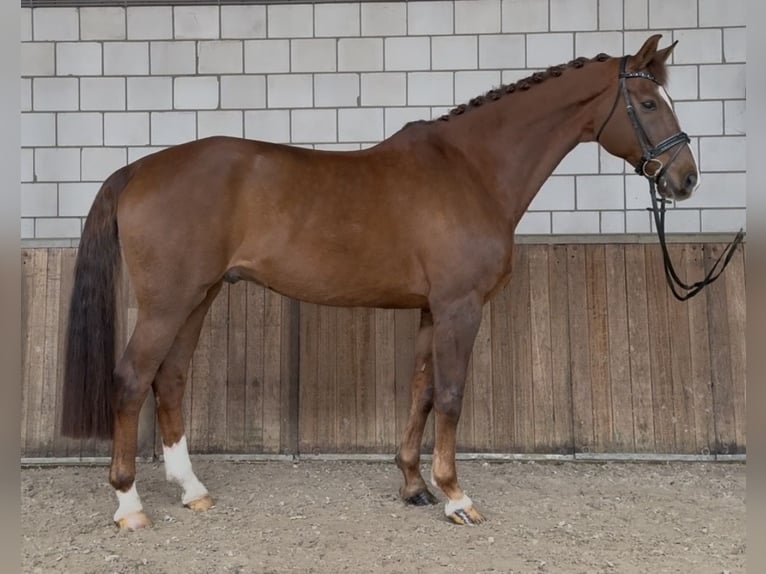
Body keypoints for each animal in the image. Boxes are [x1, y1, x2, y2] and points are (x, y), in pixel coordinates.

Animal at [61, 35, 699, 529]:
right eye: (647, 101)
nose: (686, 179)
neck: (471, 170)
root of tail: (138, 169)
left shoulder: (431, 309)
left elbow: (421, 391)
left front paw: (415, 486)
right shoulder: (461, 307)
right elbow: (450, 394)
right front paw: (456, 496)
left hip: (200, 296)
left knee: (169, 379)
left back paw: (193, 490)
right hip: (168, 303)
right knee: (131, 380)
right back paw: (129, 505)